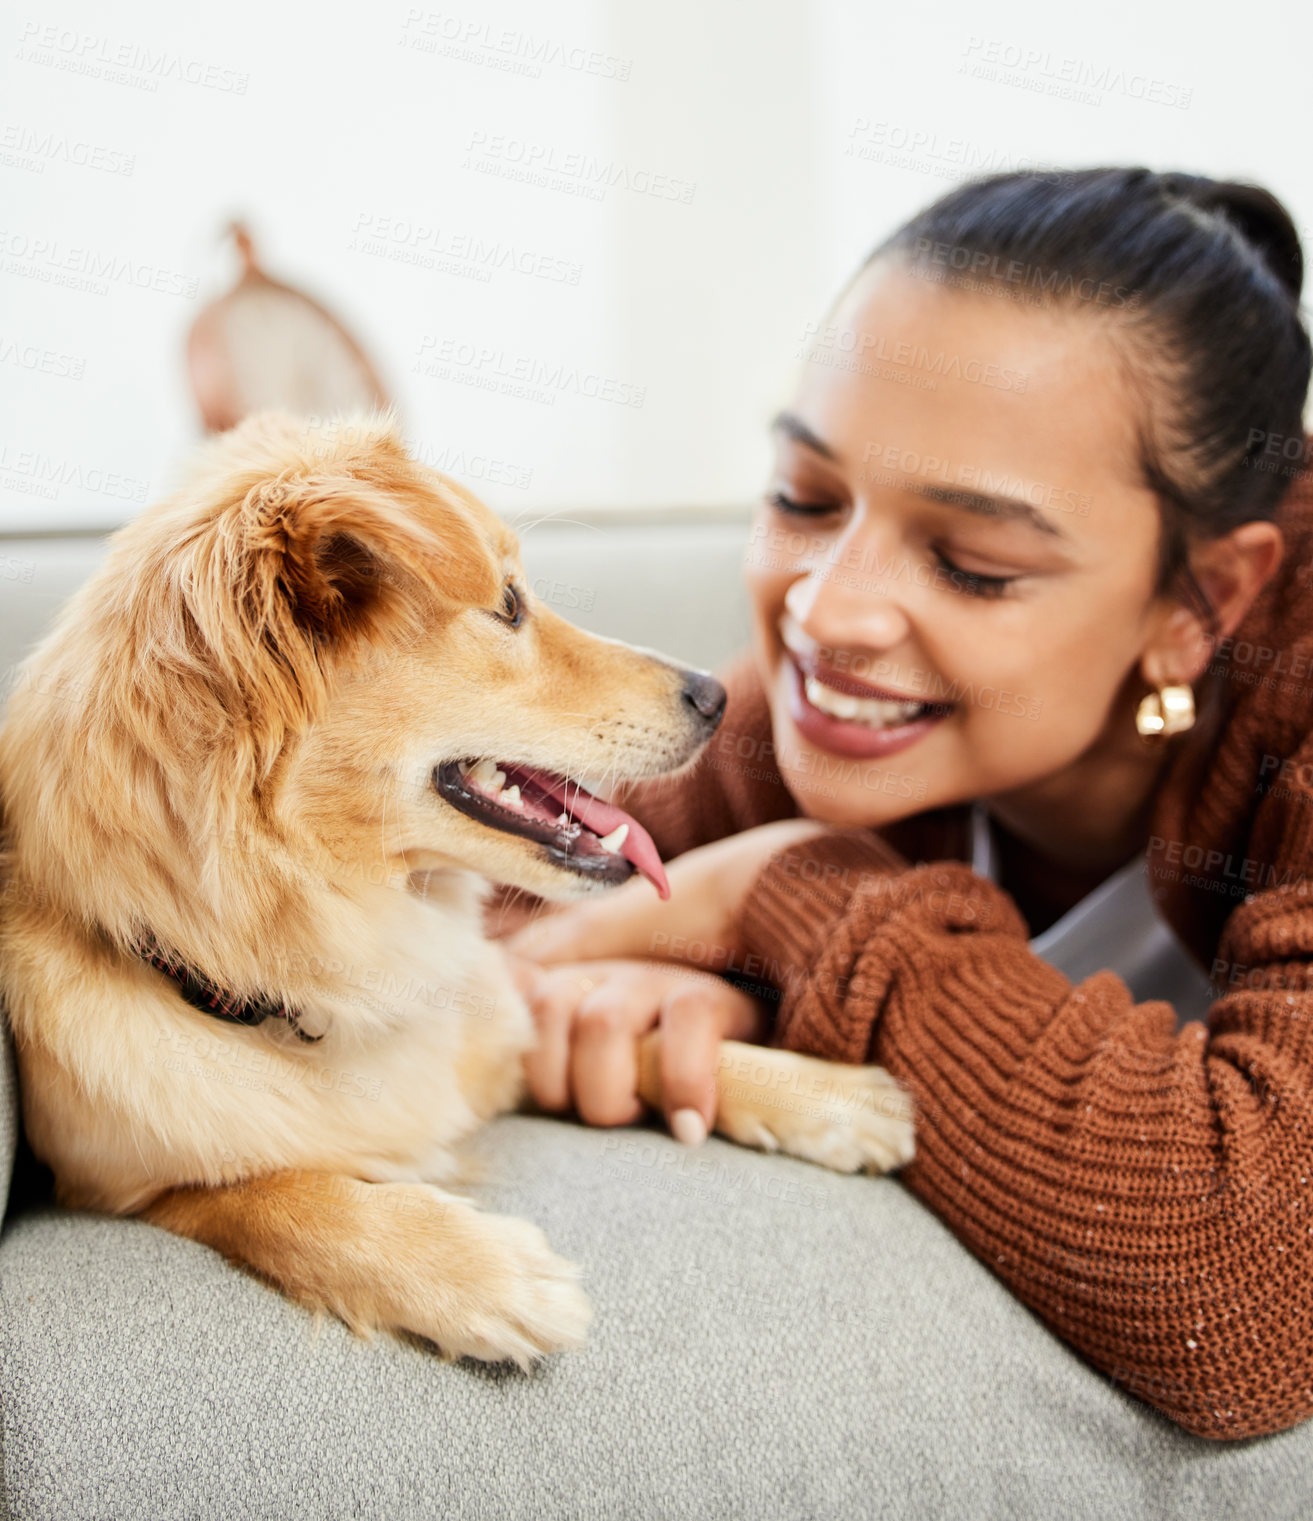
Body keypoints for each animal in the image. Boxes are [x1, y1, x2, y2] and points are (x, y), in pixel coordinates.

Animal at [0, 413, 912, 1368]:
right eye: (507, 606)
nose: (717, 693)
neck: (341, 960)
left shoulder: (510, 1036)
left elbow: (653, 1042)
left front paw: (825, 1097)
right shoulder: (131, 1186)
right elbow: (289, 1197)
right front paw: (479, 1274)